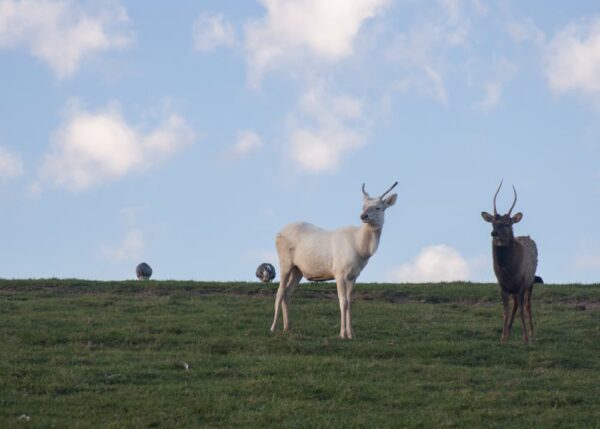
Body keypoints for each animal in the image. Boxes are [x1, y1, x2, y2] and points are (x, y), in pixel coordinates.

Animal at [272, 181, 398, 338]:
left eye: (378, 207)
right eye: (363, 206)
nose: (363, 216)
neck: (360, 250)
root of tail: (277, 233)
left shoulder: (353, 275)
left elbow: (350, 302)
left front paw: (351, 334)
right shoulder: (339, 271)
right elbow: (342, 302)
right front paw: (342, 334)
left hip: (298, 269)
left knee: (288, 293)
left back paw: (287, 327)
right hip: (284, 261)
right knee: (279, 292)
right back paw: (273, 327)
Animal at [480, 181, 540, 344]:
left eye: (507, 224)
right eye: (493, 223)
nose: (494, 233)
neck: (508, 271)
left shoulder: (521, 282)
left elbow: (520, 309)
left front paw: (525, 338)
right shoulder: (502, 285)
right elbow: (506, 311)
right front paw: (503, 337)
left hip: (530, 281)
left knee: (527, 305)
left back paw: (532, 332)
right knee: (515, 304)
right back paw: (510, 329)